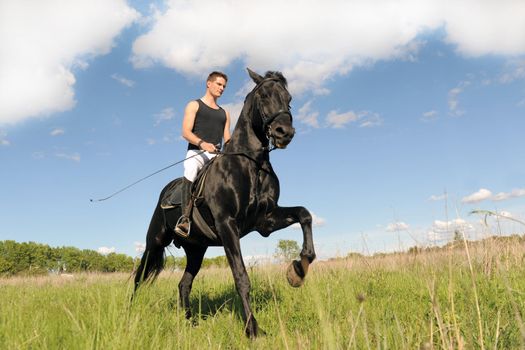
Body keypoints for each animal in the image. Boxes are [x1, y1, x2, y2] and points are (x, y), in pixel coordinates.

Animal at [134, 67, 316, 336]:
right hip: (155, 242)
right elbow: (241, 277)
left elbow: (304, 214)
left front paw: (298, 269)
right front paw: (252, 329)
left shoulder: (266, 221)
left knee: (183, 284)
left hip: (196, 250)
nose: (285, 133)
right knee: (139, 276)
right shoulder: (227, 225)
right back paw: (129, 313)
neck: (250, 164)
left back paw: (190, 322)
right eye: (263, 96)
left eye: (289, 99)